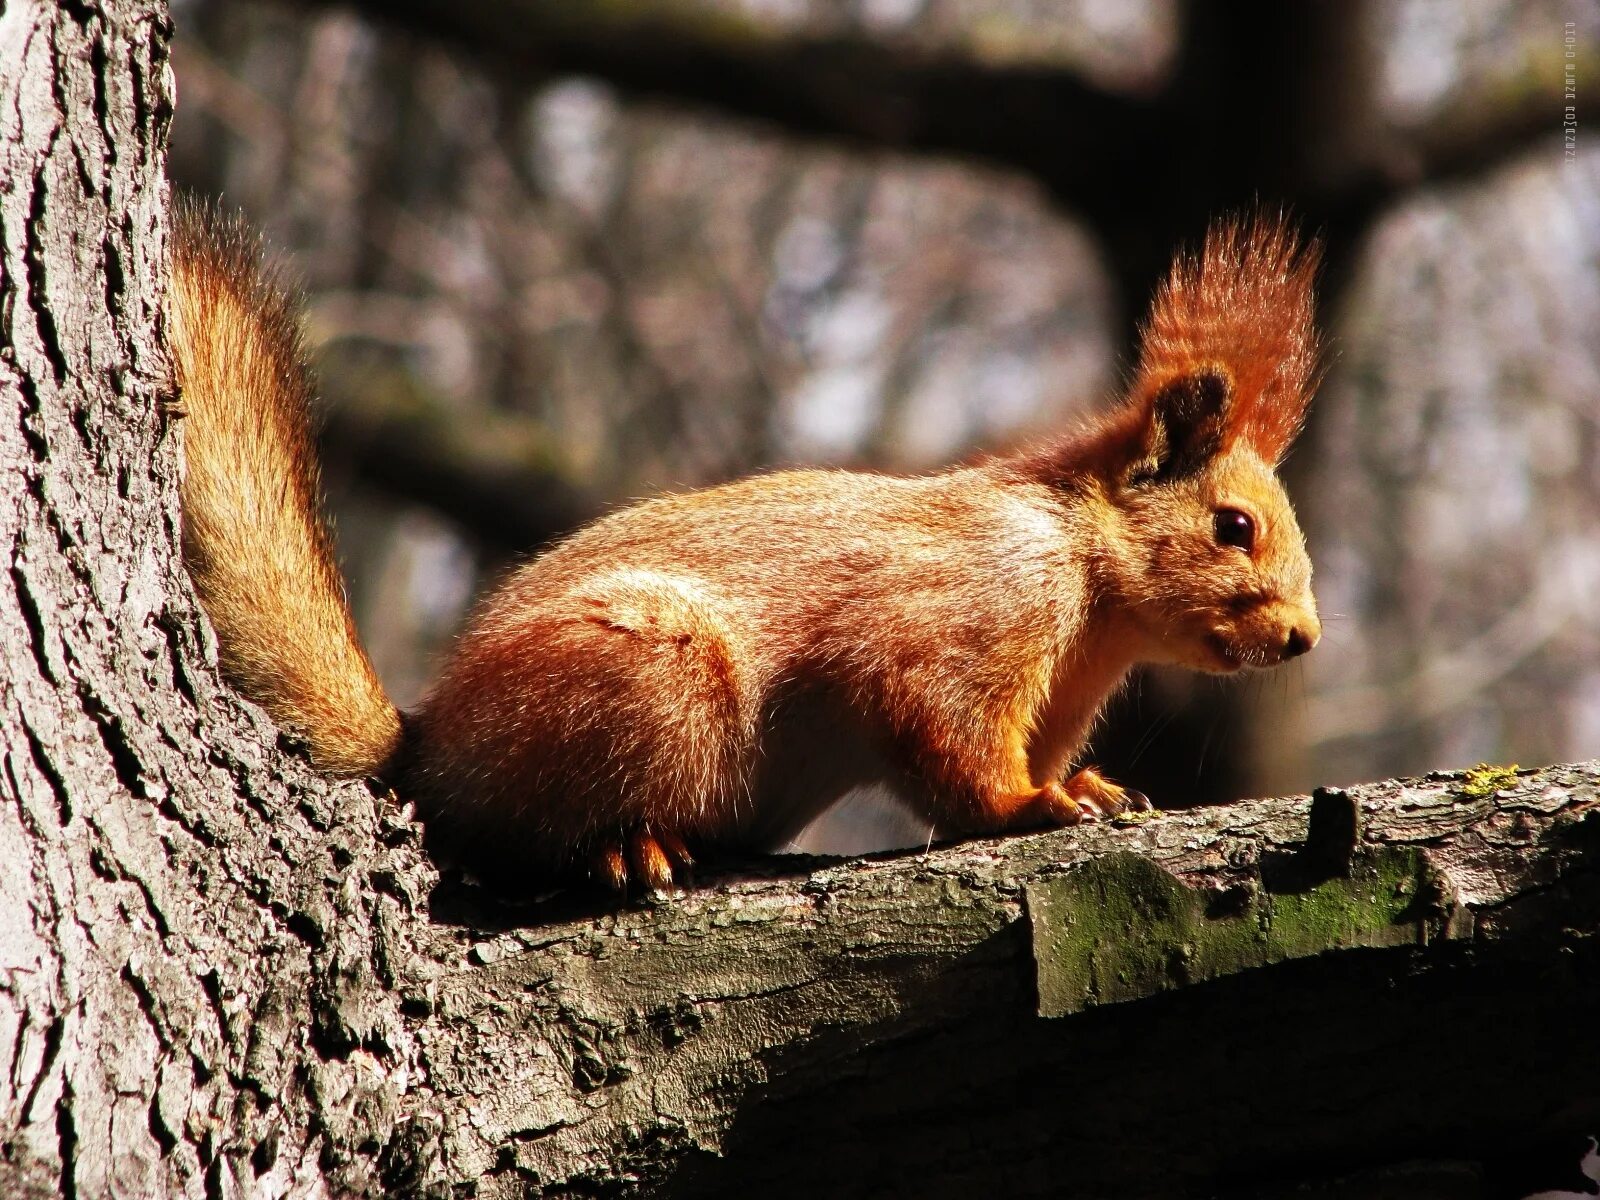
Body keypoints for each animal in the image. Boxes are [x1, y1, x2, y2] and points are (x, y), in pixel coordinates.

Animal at [172, 209, 1324, 896]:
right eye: (1234, 526)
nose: (1304, 639)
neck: (1087, 585)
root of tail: (430, 745)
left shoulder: (1059, 694)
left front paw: (1082, 788)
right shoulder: (959, 619)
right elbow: (945, 741)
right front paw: (1028, 806)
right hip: (645, 677)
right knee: (506, 827)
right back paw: (620, 844)